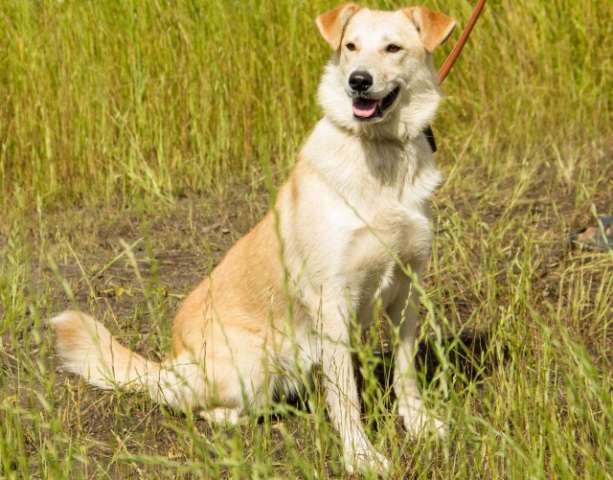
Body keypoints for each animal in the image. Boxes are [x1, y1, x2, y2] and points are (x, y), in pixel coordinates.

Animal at [50, 3, 454, 474]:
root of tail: (170, 362)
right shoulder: (332, 301)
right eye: (351, 46)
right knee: (186, 402)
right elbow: (346, 397)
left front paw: (419, 423)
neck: (383, 154)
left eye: (393, 48)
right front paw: (360, 455)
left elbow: (405, 373)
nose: (358, 80)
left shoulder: (407, 289)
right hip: (252, 362)